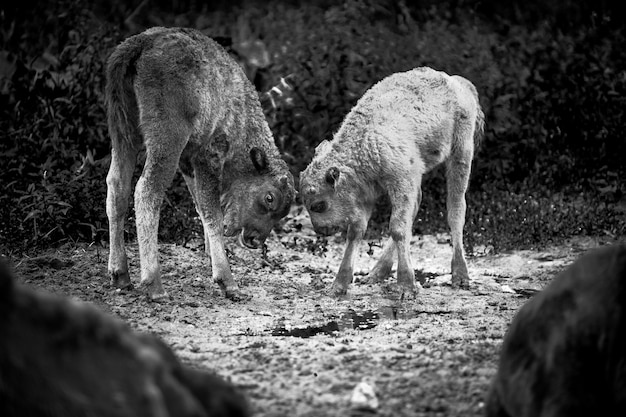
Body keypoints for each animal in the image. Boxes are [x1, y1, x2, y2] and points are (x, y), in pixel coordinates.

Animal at [105, 26, 294, 300]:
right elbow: (212, 213)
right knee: (146, 191)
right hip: (166, 141)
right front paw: (227, 282)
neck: (240, 115)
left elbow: (200, 208)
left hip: (122, 134)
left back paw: (120, 275)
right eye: (270, 198)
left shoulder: (188, 163)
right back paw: (155, 286)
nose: (254, 240)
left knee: (117, 187)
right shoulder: (208, 156)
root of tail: (142, 44)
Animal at [300, 66, 480, 298]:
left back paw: (460, 276)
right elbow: (356, 232)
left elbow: (397, 228)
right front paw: (339, 285)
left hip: (461, 154)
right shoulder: (367, 195)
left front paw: (406, 287)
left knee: (456, 209)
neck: (364, 144)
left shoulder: (401, 182)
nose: (321, 230)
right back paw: (377, 273)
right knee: (417, 207)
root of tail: (457, 83)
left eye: (319, 205)